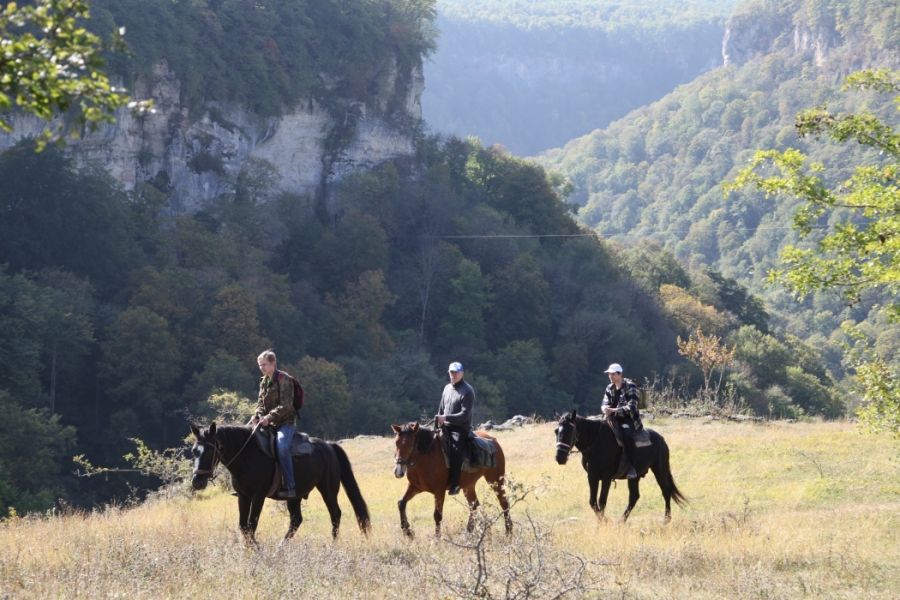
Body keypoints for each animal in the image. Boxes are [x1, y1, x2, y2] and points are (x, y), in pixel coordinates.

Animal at [190, 422, 370, 544]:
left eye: (209, 451)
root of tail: (329, 447)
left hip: (328, 490)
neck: (247, 456)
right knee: (296, 520)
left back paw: (333, 545)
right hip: (295, 496)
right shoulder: (243, 496)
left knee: (335, 514)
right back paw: (280, 548)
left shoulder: (258, 496)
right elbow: (243, 526)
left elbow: (252, 524)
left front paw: (256, 550)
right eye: (194, 451)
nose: (197, 482)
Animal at [552, 410, 684, 524]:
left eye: (570, 430)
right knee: (634, 497)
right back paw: (621, 522)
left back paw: (666, 520)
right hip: (635, 477)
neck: (596, 443)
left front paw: (604, 522)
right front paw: (603, 521)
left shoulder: (606, 477)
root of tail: (661, 439)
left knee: (666, 491)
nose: (560, 457)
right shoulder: (592, 476)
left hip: (660, 470)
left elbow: (602, 501)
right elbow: (593, 502)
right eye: (556, 431)